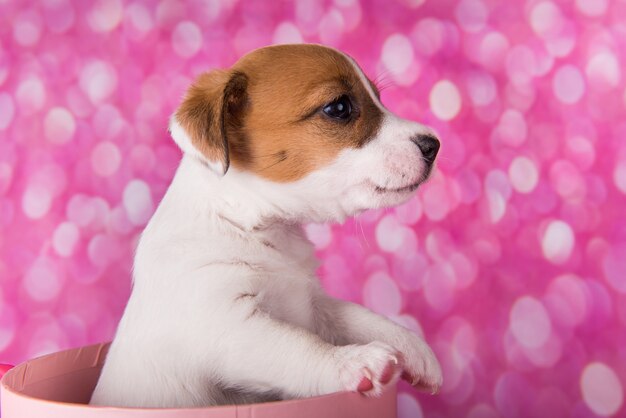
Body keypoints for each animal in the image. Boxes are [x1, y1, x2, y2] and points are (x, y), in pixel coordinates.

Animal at [90, 44, 442, 406]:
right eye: (339, 107)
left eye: (378, 97)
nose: (434, 144)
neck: (252, 225)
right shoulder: (226, 323)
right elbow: (298, 345)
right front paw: (353, 361)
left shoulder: (312, 302)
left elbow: (356, 315)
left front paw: (411, 345)